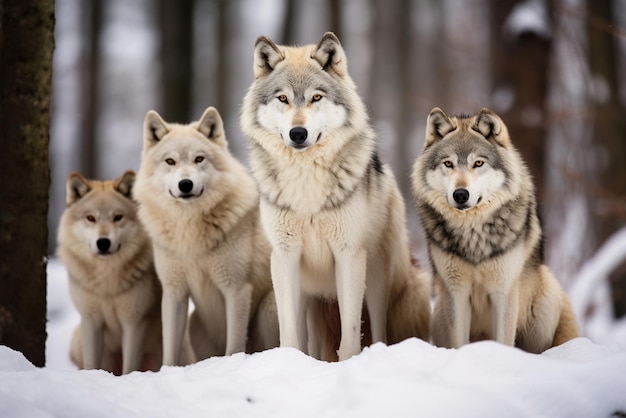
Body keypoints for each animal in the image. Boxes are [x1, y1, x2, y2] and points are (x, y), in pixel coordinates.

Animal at [56, 171, 167, 376]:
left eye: (118, 217)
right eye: (90, 218)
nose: (103, 242)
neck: (107, 282)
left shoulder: (134, 323)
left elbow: (130, 367)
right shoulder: (90, 322)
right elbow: (91, 364)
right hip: (79, 339)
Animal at [134, 106, 278, 364]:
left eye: (199, 159)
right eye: (170, 161)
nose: (185, 184)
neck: (189, 229)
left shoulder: (237, 289)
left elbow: (234, 345)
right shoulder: (174, 293)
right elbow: (169, 349)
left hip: (269, 309)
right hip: (195, 326)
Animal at [241, 32, 432, 360]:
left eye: (316, 97)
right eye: (283, 98)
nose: (298, 133)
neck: (306, 180)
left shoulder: (349, 255)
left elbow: (351, 331)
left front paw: (350, 361)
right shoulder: (284, 256)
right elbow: (289, 332)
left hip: (379, 279)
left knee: (378, 328)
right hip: (307, 298)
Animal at [410, 106, 576, 352]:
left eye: (478, 163)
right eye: (448, 164)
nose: (461, 195)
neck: (473, 232)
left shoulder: (504, 292)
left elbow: (505, 341)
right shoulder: (456, 293)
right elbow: (458, 342)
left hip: (547, 297)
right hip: (439, 312)